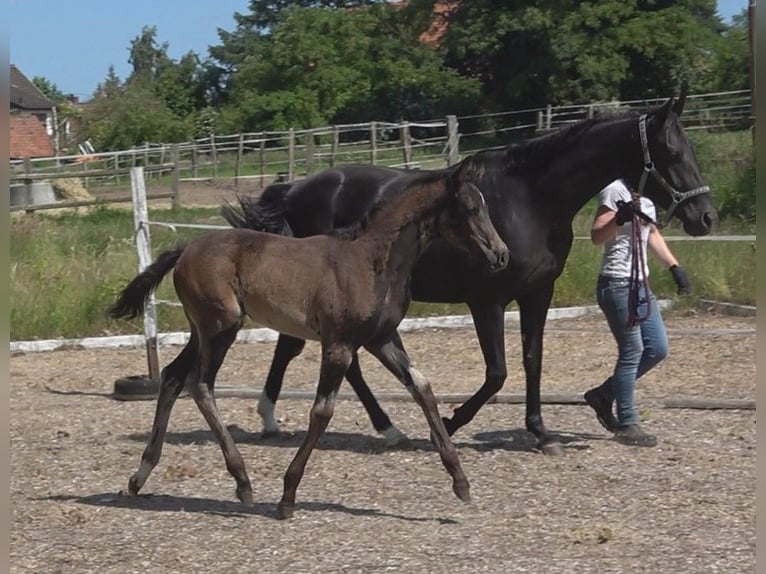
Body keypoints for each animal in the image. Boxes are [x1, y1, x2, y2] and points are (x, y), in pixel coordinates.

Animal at [109, 169, 510, 520]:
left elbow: (423, 389)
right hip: (221, 327)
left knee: (173, 377)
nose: (501, 254)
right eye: (471, 209)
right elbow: (321, 411)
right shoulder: (340, 344)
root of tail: (187, 248)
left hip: (202, 330)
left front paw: (460, 482)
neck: (371, 260)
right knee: (200, 384)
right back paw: (242, 482)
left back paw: (140, 475)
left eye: (484, 205)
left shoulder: (381, 339)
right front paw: (287, 496)